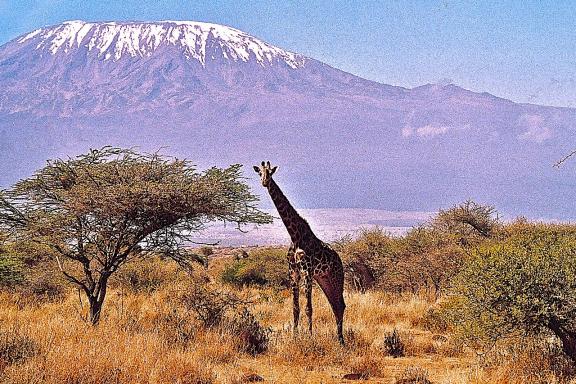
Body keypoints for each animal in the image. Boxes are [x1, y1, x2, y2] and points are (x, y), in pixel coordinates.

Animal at [253, 160, 346, 344]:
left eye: (270, 173)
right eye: (260, 173)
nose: (265, 182)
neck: (294, 235)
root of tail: (339, 260)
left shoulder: (307, 271)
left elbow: (309, 307)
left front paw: (310, 336)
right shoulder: (293, 271)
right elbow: (295, 307)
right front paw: (294, 336)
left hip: (336, 277)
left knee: (340, 305)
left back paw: (341, 340)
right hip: (324, 279)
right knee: (335, 304)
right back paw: (339, 339)